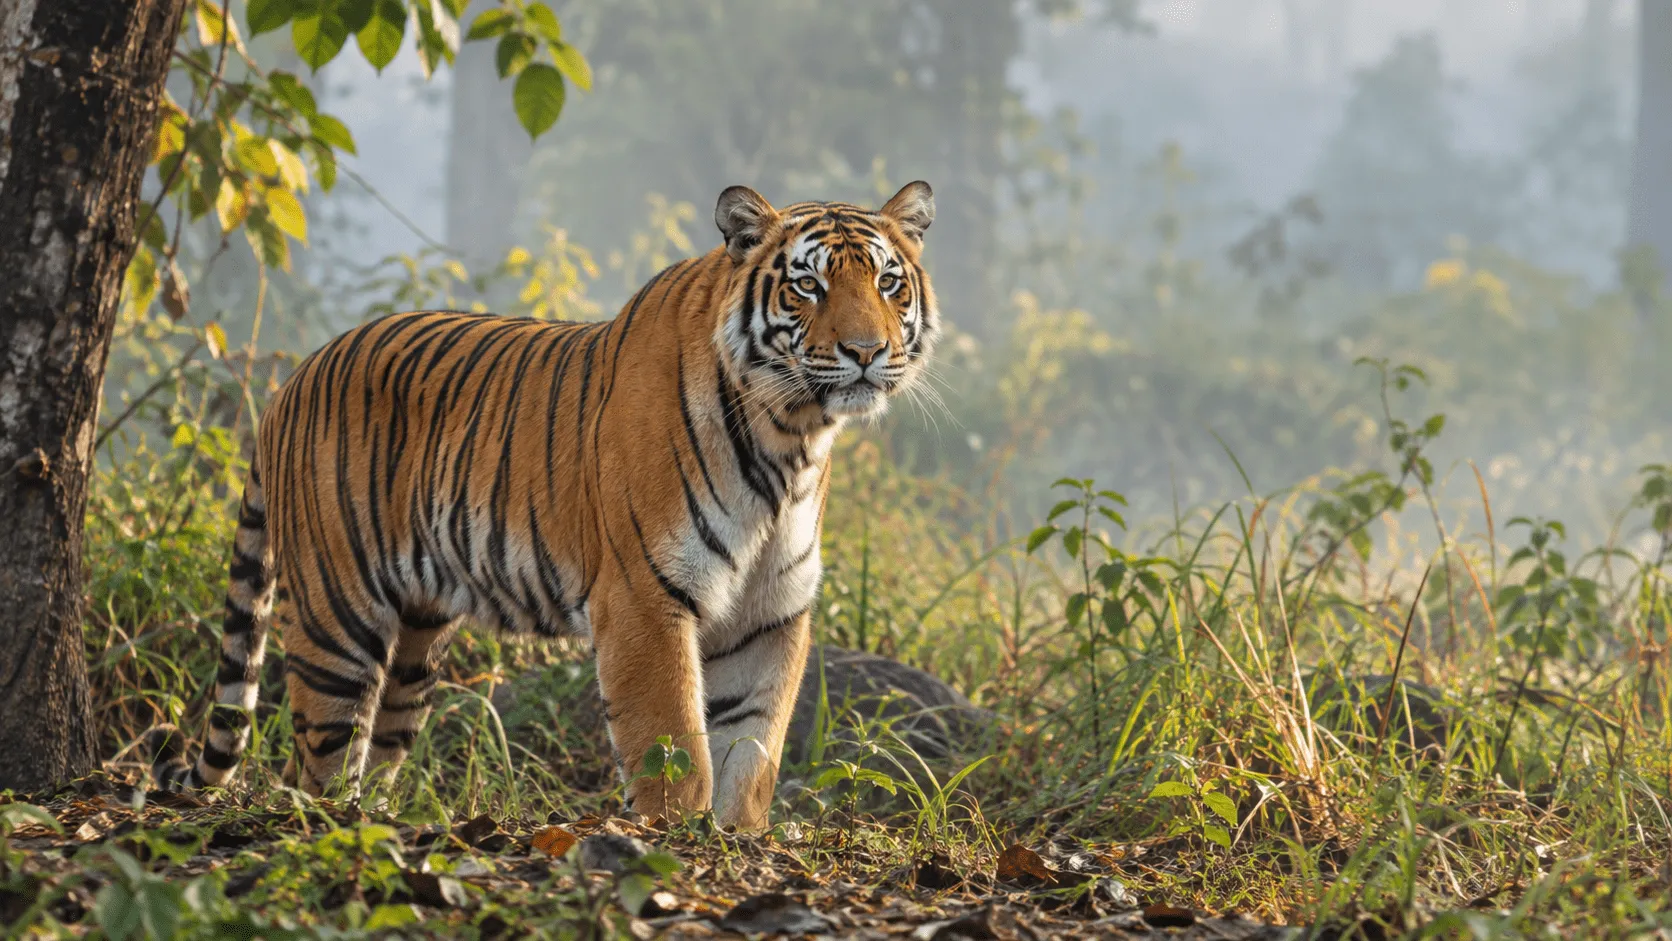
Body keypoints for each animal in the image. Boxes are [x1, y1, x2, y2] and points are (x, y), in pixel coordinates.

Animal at [148, 181, 939, 830]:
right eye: (807, 285)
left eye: (888, 283)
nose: (865, 351)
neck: (790, 439)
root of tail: (290, 380)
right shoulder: (646, 597)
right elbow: (675, 744)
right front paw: (677, 840)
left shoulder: (769, 613)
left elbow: (753, 752)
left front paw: (737, 842)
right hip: (337, 617)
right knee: (315, 760)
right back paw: (332, 833)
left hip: (416, 639)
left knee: (365, 747)